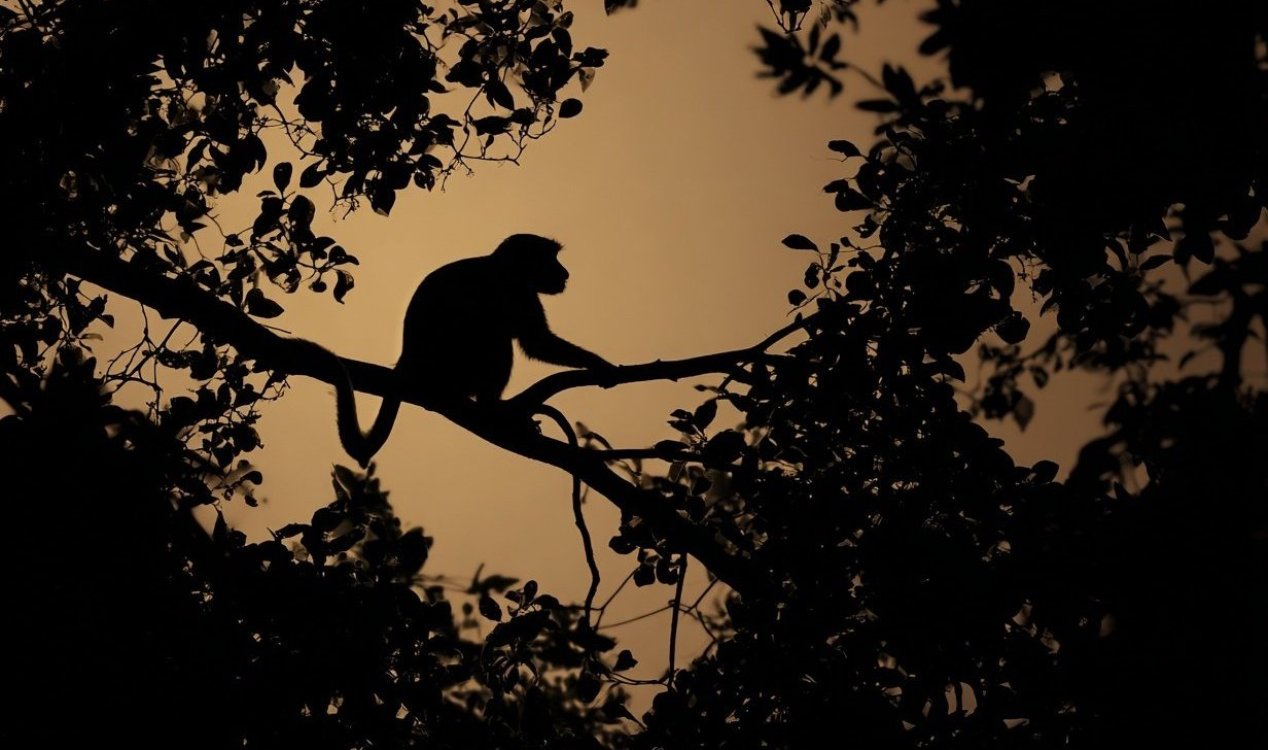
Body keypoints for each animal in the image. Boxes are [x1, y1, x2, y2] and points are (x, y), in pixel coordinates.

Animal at [329, 233, 615, 468]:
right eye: (551, 259)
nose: (565, 272)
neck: (504, 269)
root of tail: (408, 362)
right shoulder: (514, 291)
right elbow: (534, 342)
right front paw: (598, 363)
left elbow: (534, 342)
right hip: (453, 366)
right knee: (494, 336)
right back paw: (492, 407)